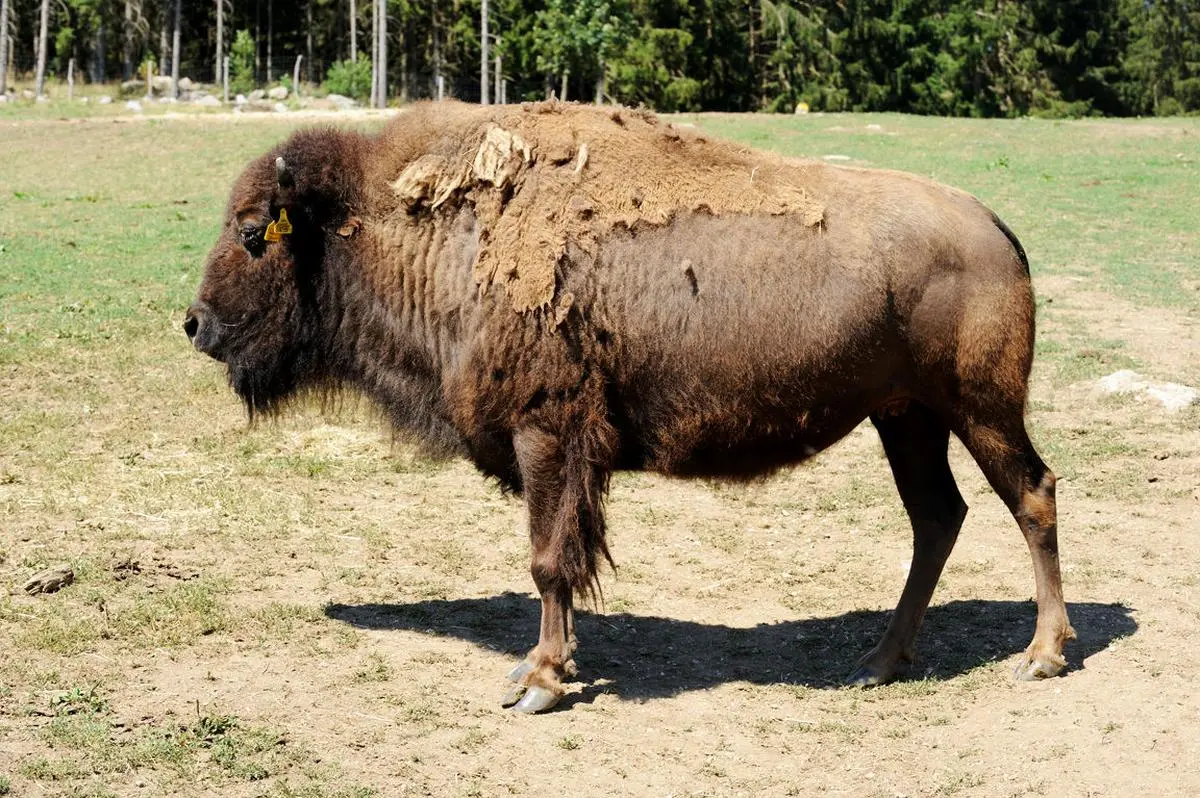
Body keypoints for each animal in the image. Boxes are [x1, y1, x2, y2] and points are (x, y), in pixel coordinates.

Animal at [186, 101, 1073, 713]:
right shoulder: (569, 453)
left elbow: (547, 560)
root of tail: (994, 225)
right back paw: (877, 663)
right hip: (906, 418)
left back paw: (1041, 655)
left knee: (1030, 495)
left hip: (978, 409)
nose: (195, 323)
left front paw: (539, 683)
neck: (442, 233)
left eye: (253, 231)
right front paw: (545, 668)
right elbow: (568, 559)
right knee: (938, 517)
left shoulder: (546, 435)